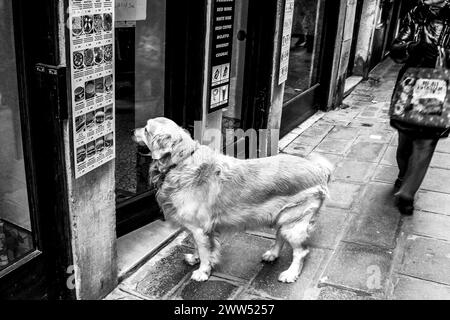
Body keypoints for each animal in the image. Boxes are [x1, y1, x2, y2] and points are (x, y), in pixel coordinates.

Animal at [132, 117, 332, 282]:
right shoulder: (199, 230)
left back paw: (290, 273)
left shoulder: (199, 229)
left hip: (295, 222)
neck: (180, 163)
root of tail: (318, 168)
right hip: (282, 217)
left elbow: (205, 252)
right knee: (280, 236)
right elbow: (200, 248)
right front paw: (195, 258)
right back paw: (272, 254)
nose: (132, 130)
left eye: (146, 129)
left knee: (301, 252)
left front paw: (202, 272)